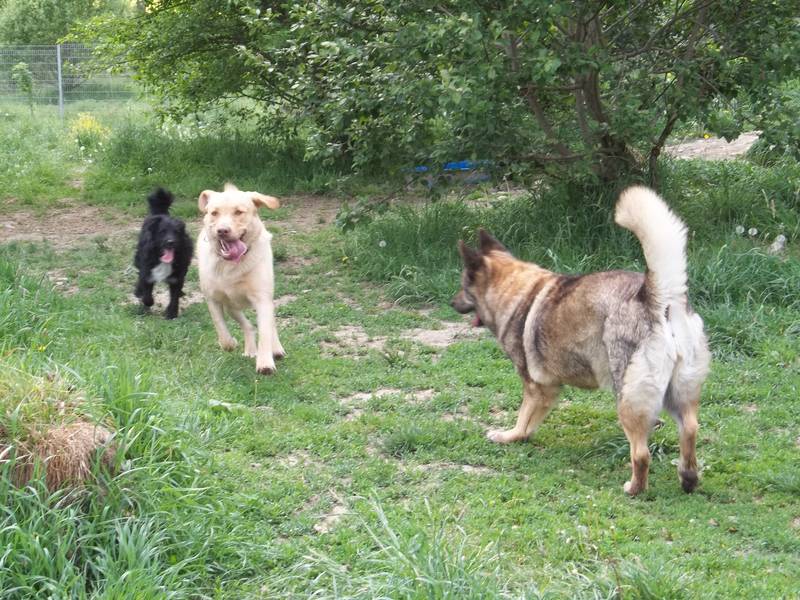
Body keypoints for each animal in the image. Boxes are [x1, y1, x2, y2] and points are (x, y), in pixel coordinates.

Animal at [134, 188, 193, 319]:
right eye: (162, 232)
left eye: (176, 232)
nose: (170, 242)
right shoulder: (148, 271)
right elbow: (147, 294)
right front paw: (147, 302)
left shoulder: (177, 276)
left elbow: (174, 297)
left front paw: (171, 314)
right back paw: (138, 292)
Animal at [196, 183, 285, 375]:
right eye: (214, 213)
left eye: (238, 212)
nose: (222, 230)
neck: (231, 265)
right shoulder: (213, 299)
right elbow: (221, 330)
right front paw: (230, 343)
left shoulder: (262, 299)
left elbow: (265, 332)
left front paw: (265, 363)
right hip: (232, 307)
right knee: (248, 326)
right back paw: (250, 349)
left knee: (270, 325)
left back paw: (276, 349)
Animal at [451, 186, 710, 496]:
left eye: (463, 286)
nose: (451, 302)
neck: (516, 291)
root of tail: (656, 297)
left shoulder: (537, 388)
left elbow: (523, 419)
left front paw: (510, 436)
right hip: (677, 392)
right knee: (690, 428)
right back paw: (688, 477)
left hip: (629, 398)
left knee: (641, 453)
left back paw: (634, 488)